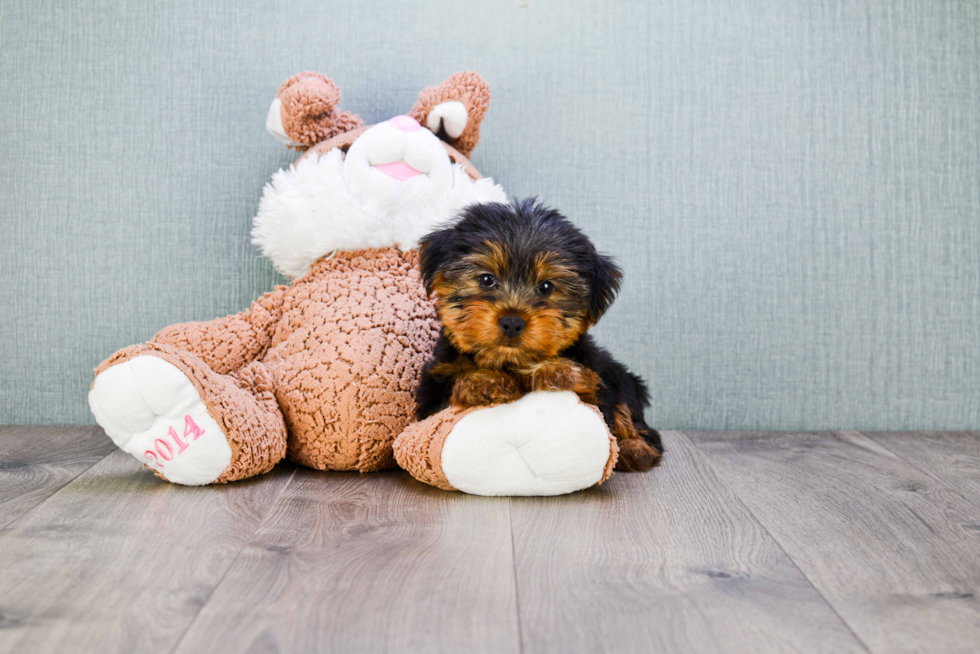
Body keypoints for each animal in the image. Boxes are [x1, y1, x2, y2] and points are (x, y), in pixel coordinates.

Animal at [410, 199, 664, 472]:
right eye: (486, 279)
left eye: (546, 287)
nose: (512, 322)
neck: (509, 361)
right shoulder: (431, 392)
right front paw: (483, 380)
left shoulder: (596, 381)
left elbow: (595, 402)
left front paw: (558, 370)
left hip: (618, 374)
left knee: (631, 412)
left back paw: (635, 448)